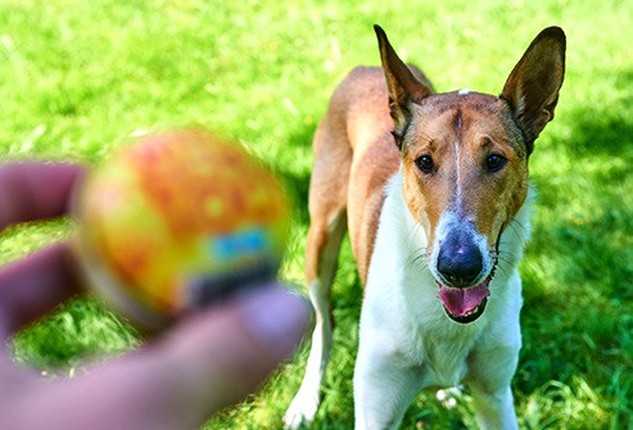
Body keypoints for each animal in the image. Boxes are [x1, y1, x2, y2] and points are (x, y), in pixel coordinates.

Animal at [284, 25, 564, 428]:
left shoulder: (495, 396)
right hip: (320, 241)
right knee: (323, 320)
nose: (459, 267)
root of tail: (367, 68)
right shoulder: (376, 407)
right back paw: (305, 399)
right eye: (424, 161)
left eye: (495, 160)